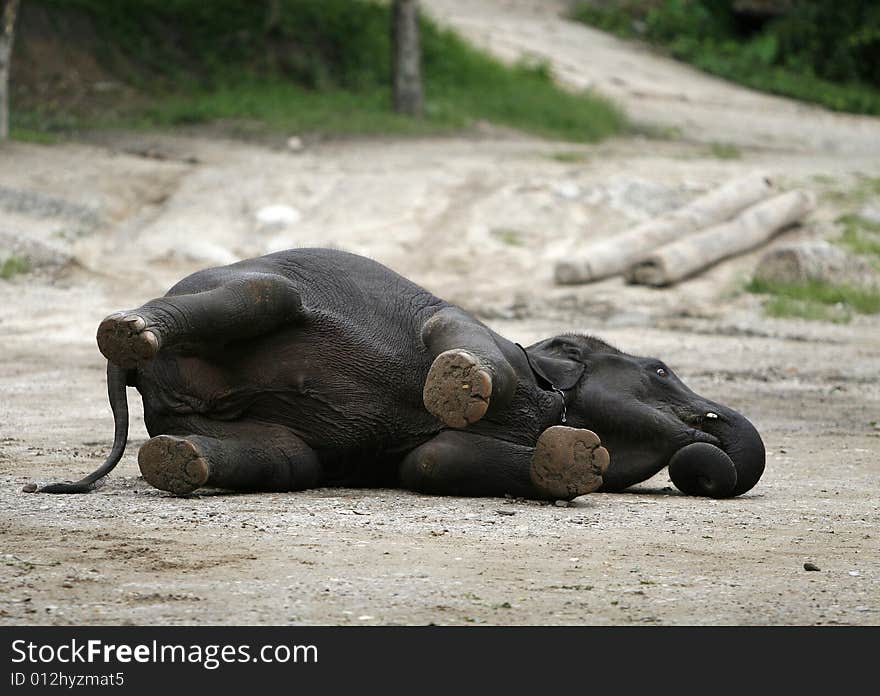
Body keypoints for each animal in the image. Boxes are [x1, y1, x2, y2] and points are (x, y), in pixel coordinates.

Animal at [32, 250, 764, 500]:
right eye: (661, 370)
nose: (706, 457)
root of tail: (133, 371)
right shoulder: (472, 327)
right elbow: (448, 341)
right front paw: (457, 385)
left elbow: (431, 463)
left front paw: (572, 461)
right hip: (237, 290)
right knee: (266, 295)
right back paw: (127, 331)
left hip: (205, 416)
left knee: (289, 460)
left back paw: (178, 463)